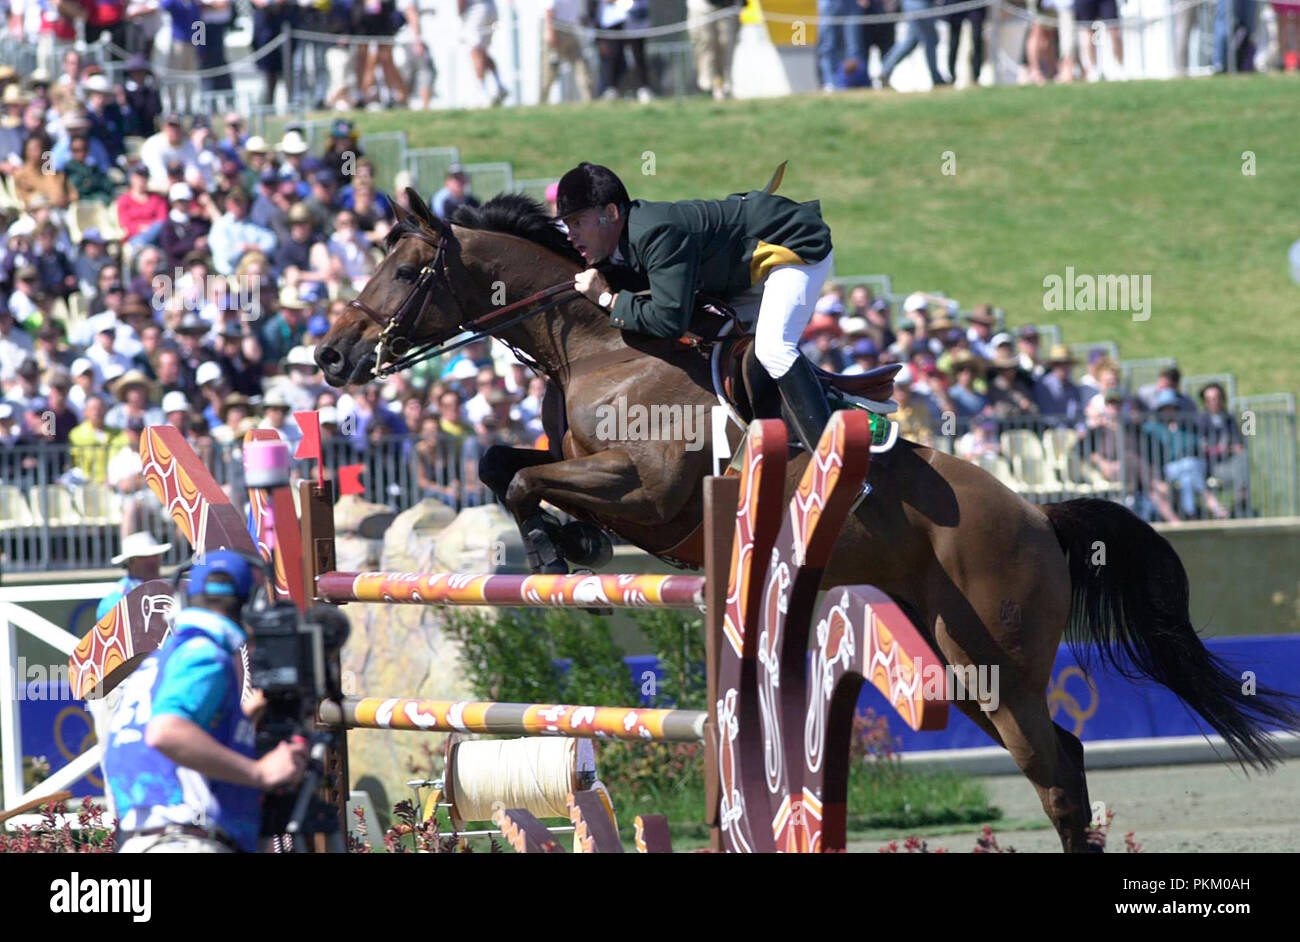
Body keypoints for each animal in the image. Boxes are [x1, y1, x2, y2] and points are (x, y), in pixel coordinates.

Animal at [317, 190, 1300, 852]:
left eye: (406, 270)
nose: (328, 356)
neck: (596, 342)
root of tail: (1036, 512)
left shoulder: (650, 493)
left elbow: (526, 482)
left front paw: (561, 554)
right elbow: (498, 463)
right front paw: (566, 543)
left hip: (999, 663)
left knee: (1055, 776)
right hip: (961, 668)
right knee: (1063, 756)